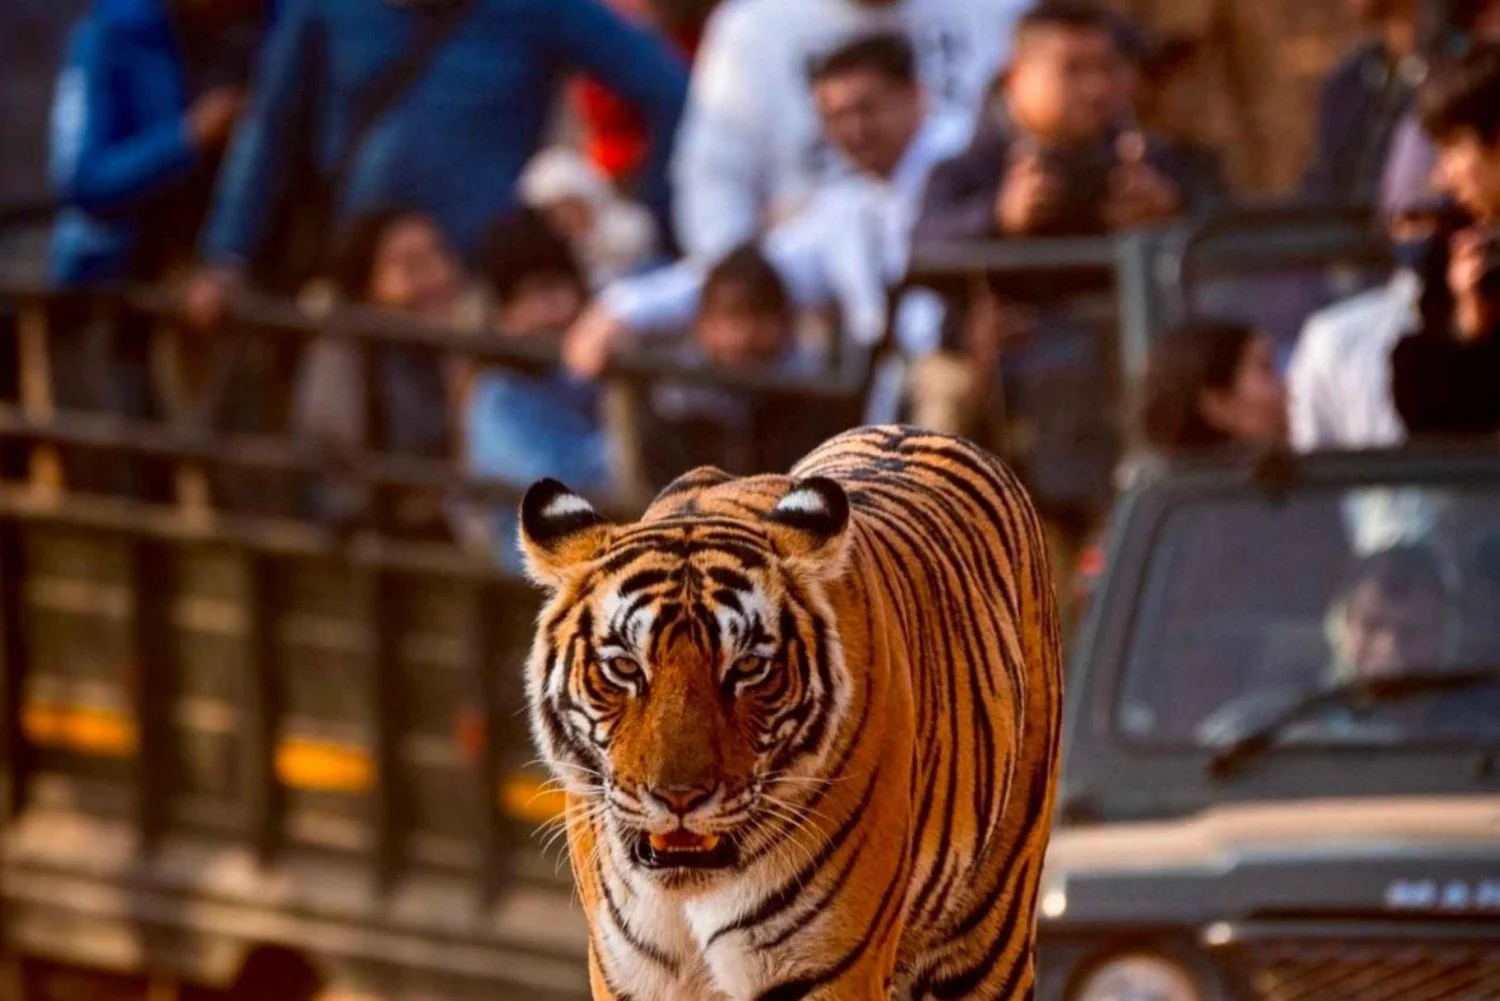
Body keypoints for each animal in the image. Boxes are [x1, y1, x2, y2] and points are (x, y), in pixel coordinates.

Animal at [518, 425, 1063, 1001]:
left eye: (748, 667)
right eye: (625, 666)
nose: (679, 798)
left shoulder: (828, 968)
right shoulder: (626, 973)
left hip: (991, 931)